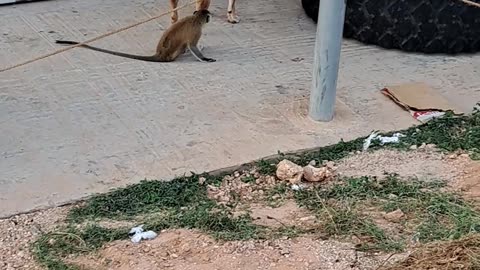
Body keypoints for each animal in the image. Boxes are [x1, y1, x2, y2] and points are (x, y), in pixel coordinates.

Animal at [54, 9, 216, 63]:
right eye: (208, 17)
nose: (209, 18)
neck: (195, 19)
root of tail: (160, 54)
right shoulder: (197, 30)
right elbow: (192, 45)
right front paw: (204, 58)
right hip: (172, 54)